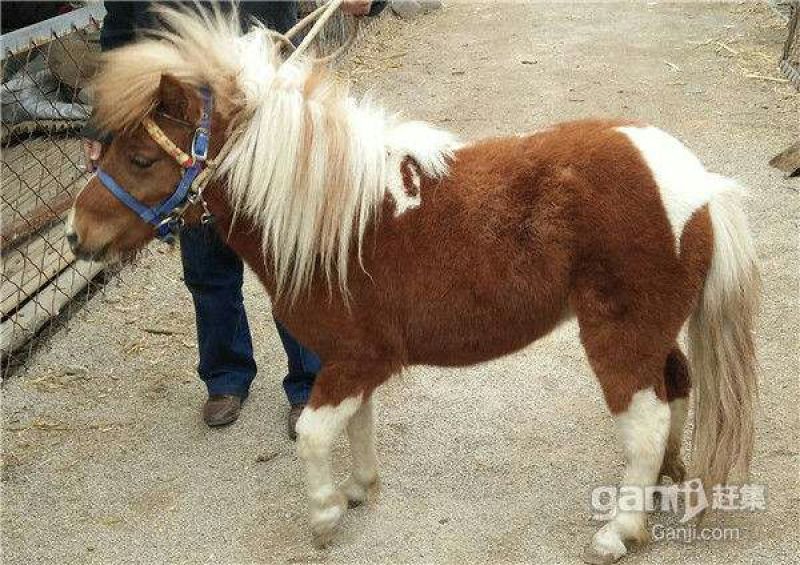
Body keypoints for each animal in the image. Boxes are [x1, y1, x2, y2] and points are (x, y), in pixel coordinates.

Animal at [66, 7, 759, 563]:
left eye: (142, 159)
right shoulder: (352, 362)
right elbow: (356, 425)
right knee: (675, 386)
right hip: (653, 332)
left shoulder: (356, 358)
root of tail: (700, 184)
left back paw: (620, 530)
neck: (332, 218)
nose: (77, 235)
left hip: (619, 336)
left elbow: (313, 434)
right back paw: (666, 479)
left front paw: (325, 516)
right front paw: (358, 490)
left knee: (643, 420)